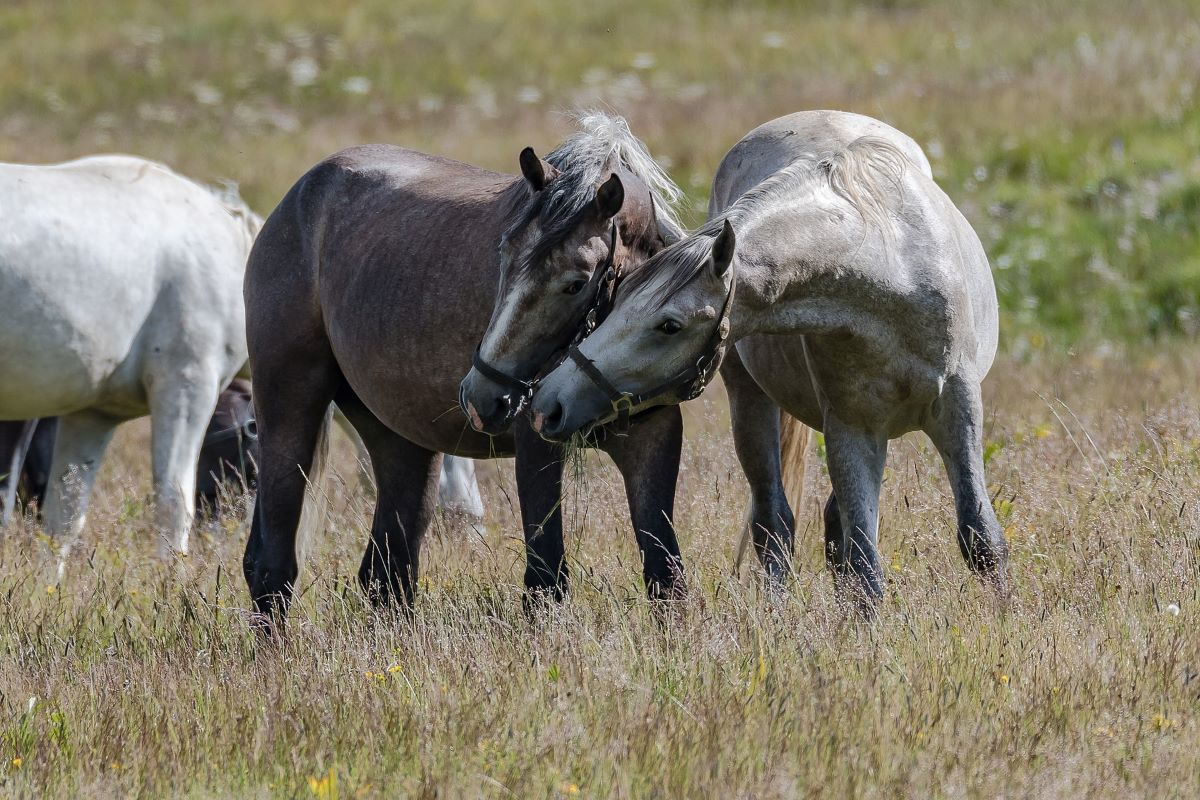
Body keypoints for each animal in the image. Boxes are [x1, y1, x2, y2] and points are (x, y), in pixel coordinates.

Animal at [0, 155, 260, 562]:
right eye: (248, 473)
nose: (230, 541)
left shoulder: (92, 415)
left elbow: (62, 521)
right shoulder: (187, 384)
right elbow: (174, 504)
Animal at [243, 112, 686, 629]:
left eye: (576, 283)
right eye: (503, 255)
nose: (483, 397)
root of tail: (297, 196)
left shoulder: (653, 436)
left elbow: (665, 575)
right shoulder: (536, 442)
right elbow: (546, 580)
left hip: (402, 443)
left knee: (388, 574)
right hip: (290, 410)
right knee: (272, 565)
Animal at [528, 110, 1011, 606]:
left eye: (669, 325)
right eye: (618, 293)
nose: (549, 402)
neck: (892, 268)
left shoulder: (957, 410)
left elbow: (980, 538)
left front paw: (1000, 612)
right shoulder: (852, 427)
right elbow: (865, 567)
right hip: (751, 405)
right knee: (774, 522)